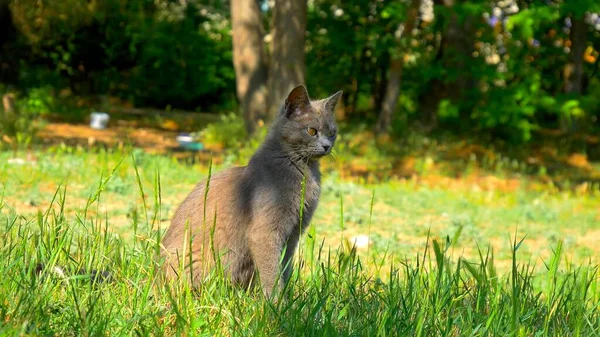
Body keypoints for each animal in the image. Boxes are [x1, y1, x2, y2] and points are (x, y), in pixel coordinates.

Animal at [161, 84, 342, 296]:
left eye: (332, 133)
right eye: (312, 131)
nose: (327, 146)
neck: (303, 169)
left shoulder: (294, 233)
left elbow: (285, 268)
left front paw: (289, 298)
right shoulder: (265, 232)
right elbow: (272, 273)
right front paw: (277, 302)